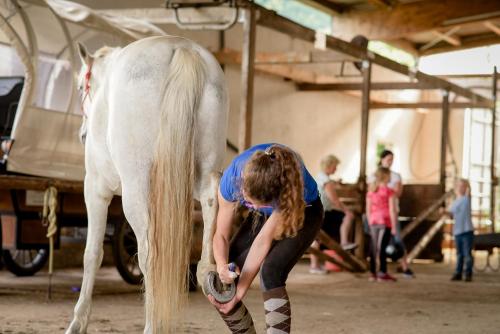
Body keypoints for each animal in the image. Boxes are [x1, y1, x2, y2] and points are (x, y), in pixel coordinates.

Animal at [66, 35, 229, 332]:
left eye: (81, 86)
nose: (83, 135)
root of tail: (180, 47)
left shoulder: (95, 188)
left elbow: (92, 254)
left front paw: (78, 321)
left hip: (137, 190)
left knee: (150, 258)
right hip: (202, 172)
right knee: (211, 202)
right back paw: (206, 273)